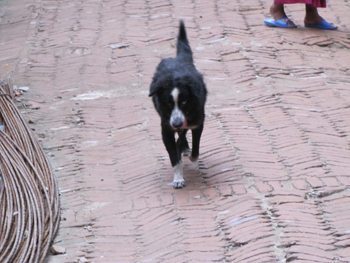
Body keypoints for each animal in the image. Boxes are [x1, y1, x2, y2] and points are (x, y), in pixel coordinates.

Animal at [149, 21, 206, 190]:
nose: (177, 123)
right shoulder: (166, 128)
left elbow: (195, 150)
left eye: (184, 102)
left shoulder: (197, 123)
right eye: (168, 103)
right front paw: (178, 178)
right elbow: (174, 157)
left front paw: (189, 154)